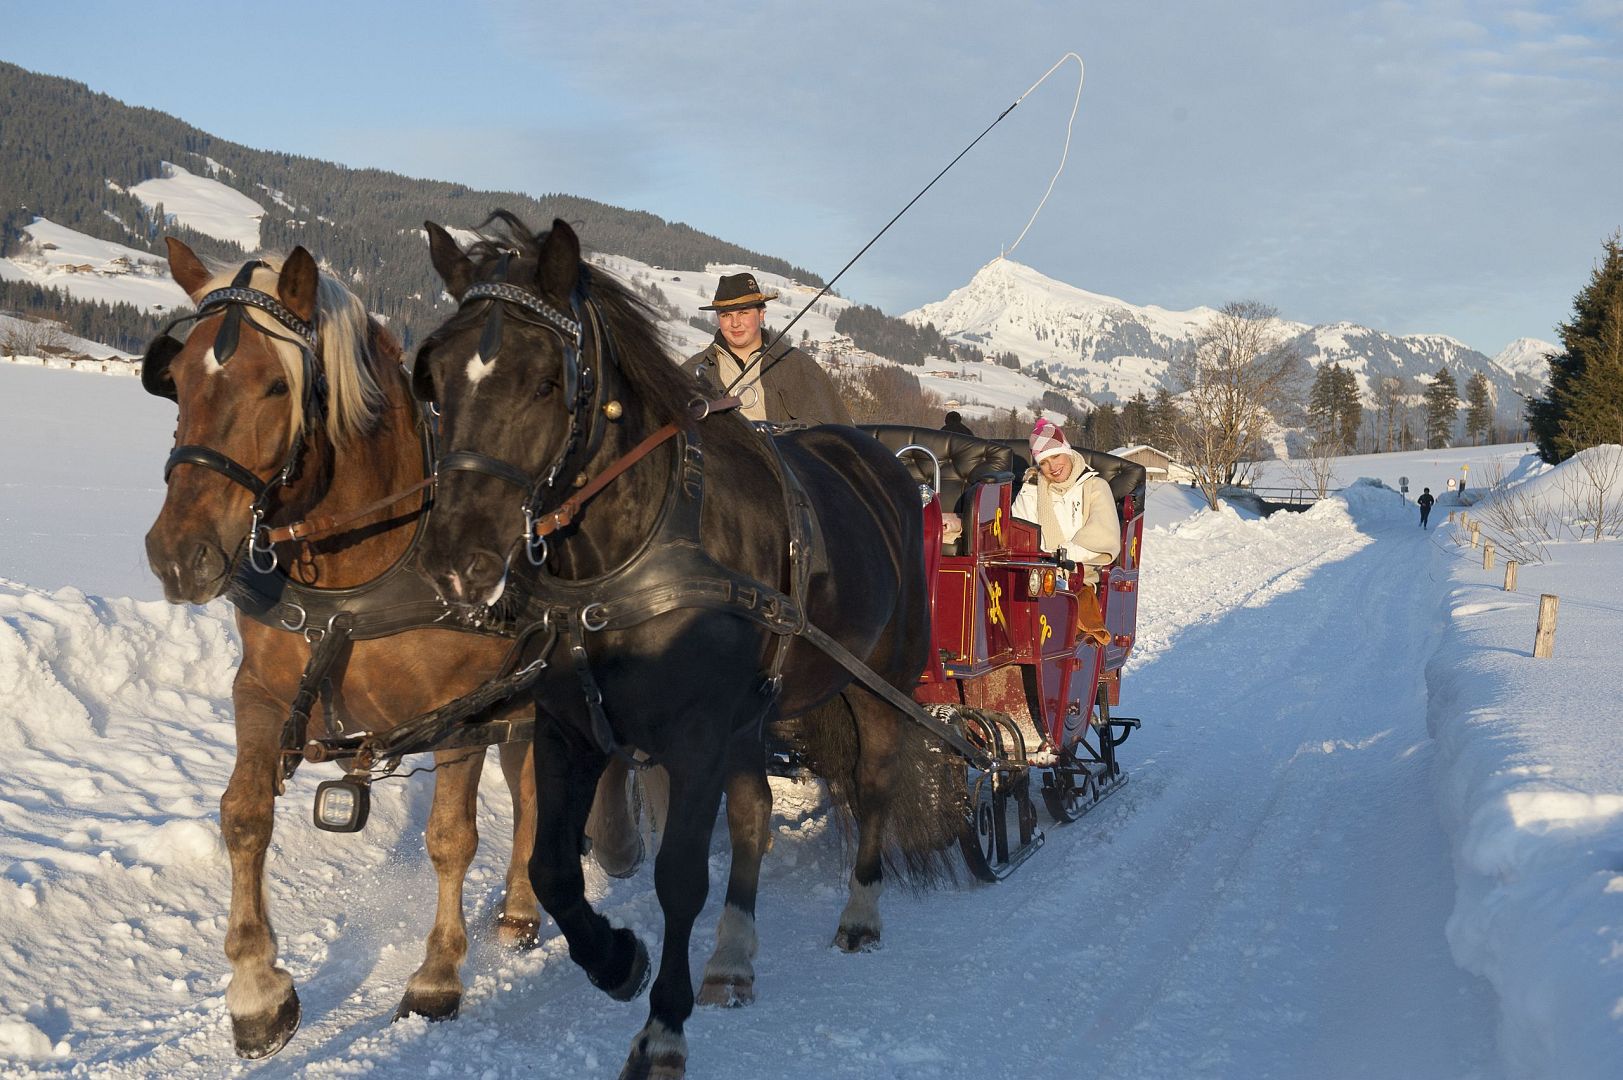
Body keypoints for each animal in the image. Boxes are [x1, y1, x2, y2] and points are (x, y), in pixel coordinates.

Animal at [142, 240, 639, 1058]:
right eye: (176, 379)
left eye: (276, 385)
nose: (178, 557)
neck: (365, 565)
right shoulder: (261, 691)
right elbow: (243, 815)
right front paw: (257, 992)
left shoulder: (462, 711)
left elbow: (450, 837)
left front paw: (436, 977)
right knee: (531, 788)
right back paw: (519, 910)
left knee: (541, 790)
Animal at [412, 212, 954, 1078]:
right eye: (432, 379)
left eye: (546, 381)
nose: (454, 562)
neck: (628, 549)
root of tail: (883, 460)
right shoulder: (573, 727)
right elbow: (554, 867)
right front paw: (616, 960)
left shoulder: (695, 737)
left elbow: (678, 879)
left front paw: (663, 1028)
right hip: (755, 712)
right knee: (756, 812)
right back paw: (731, 960)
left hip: (881, 679)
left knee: (872, 783)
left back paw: (860, 915)